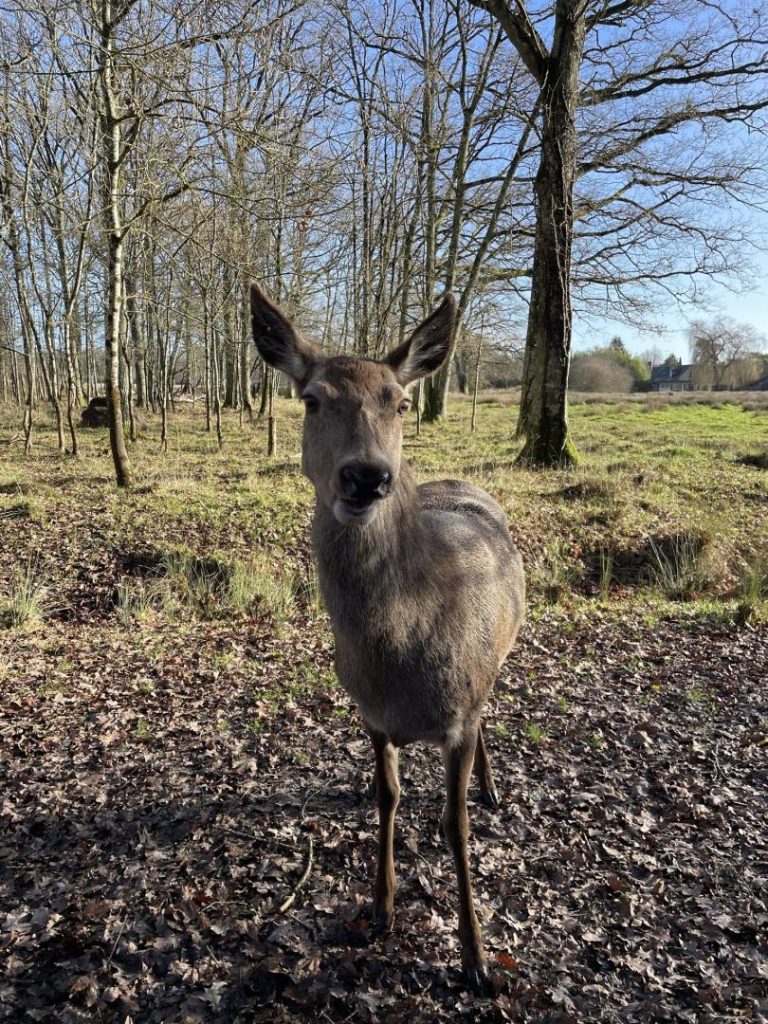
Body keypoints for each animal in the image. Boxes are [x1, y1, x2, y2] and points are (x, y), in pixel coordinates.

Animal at [249, 282, 528, 991]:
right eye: (311, 398)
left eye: (399, 402)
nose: (367, 476)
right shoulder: (371, 717)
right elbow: (388, 796)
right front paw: (381, 906)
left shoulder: (459, 714)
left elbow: (454, 825)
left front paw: (475, 956)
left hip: (499, 661)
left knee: (492, 707)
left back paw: (492, 785)